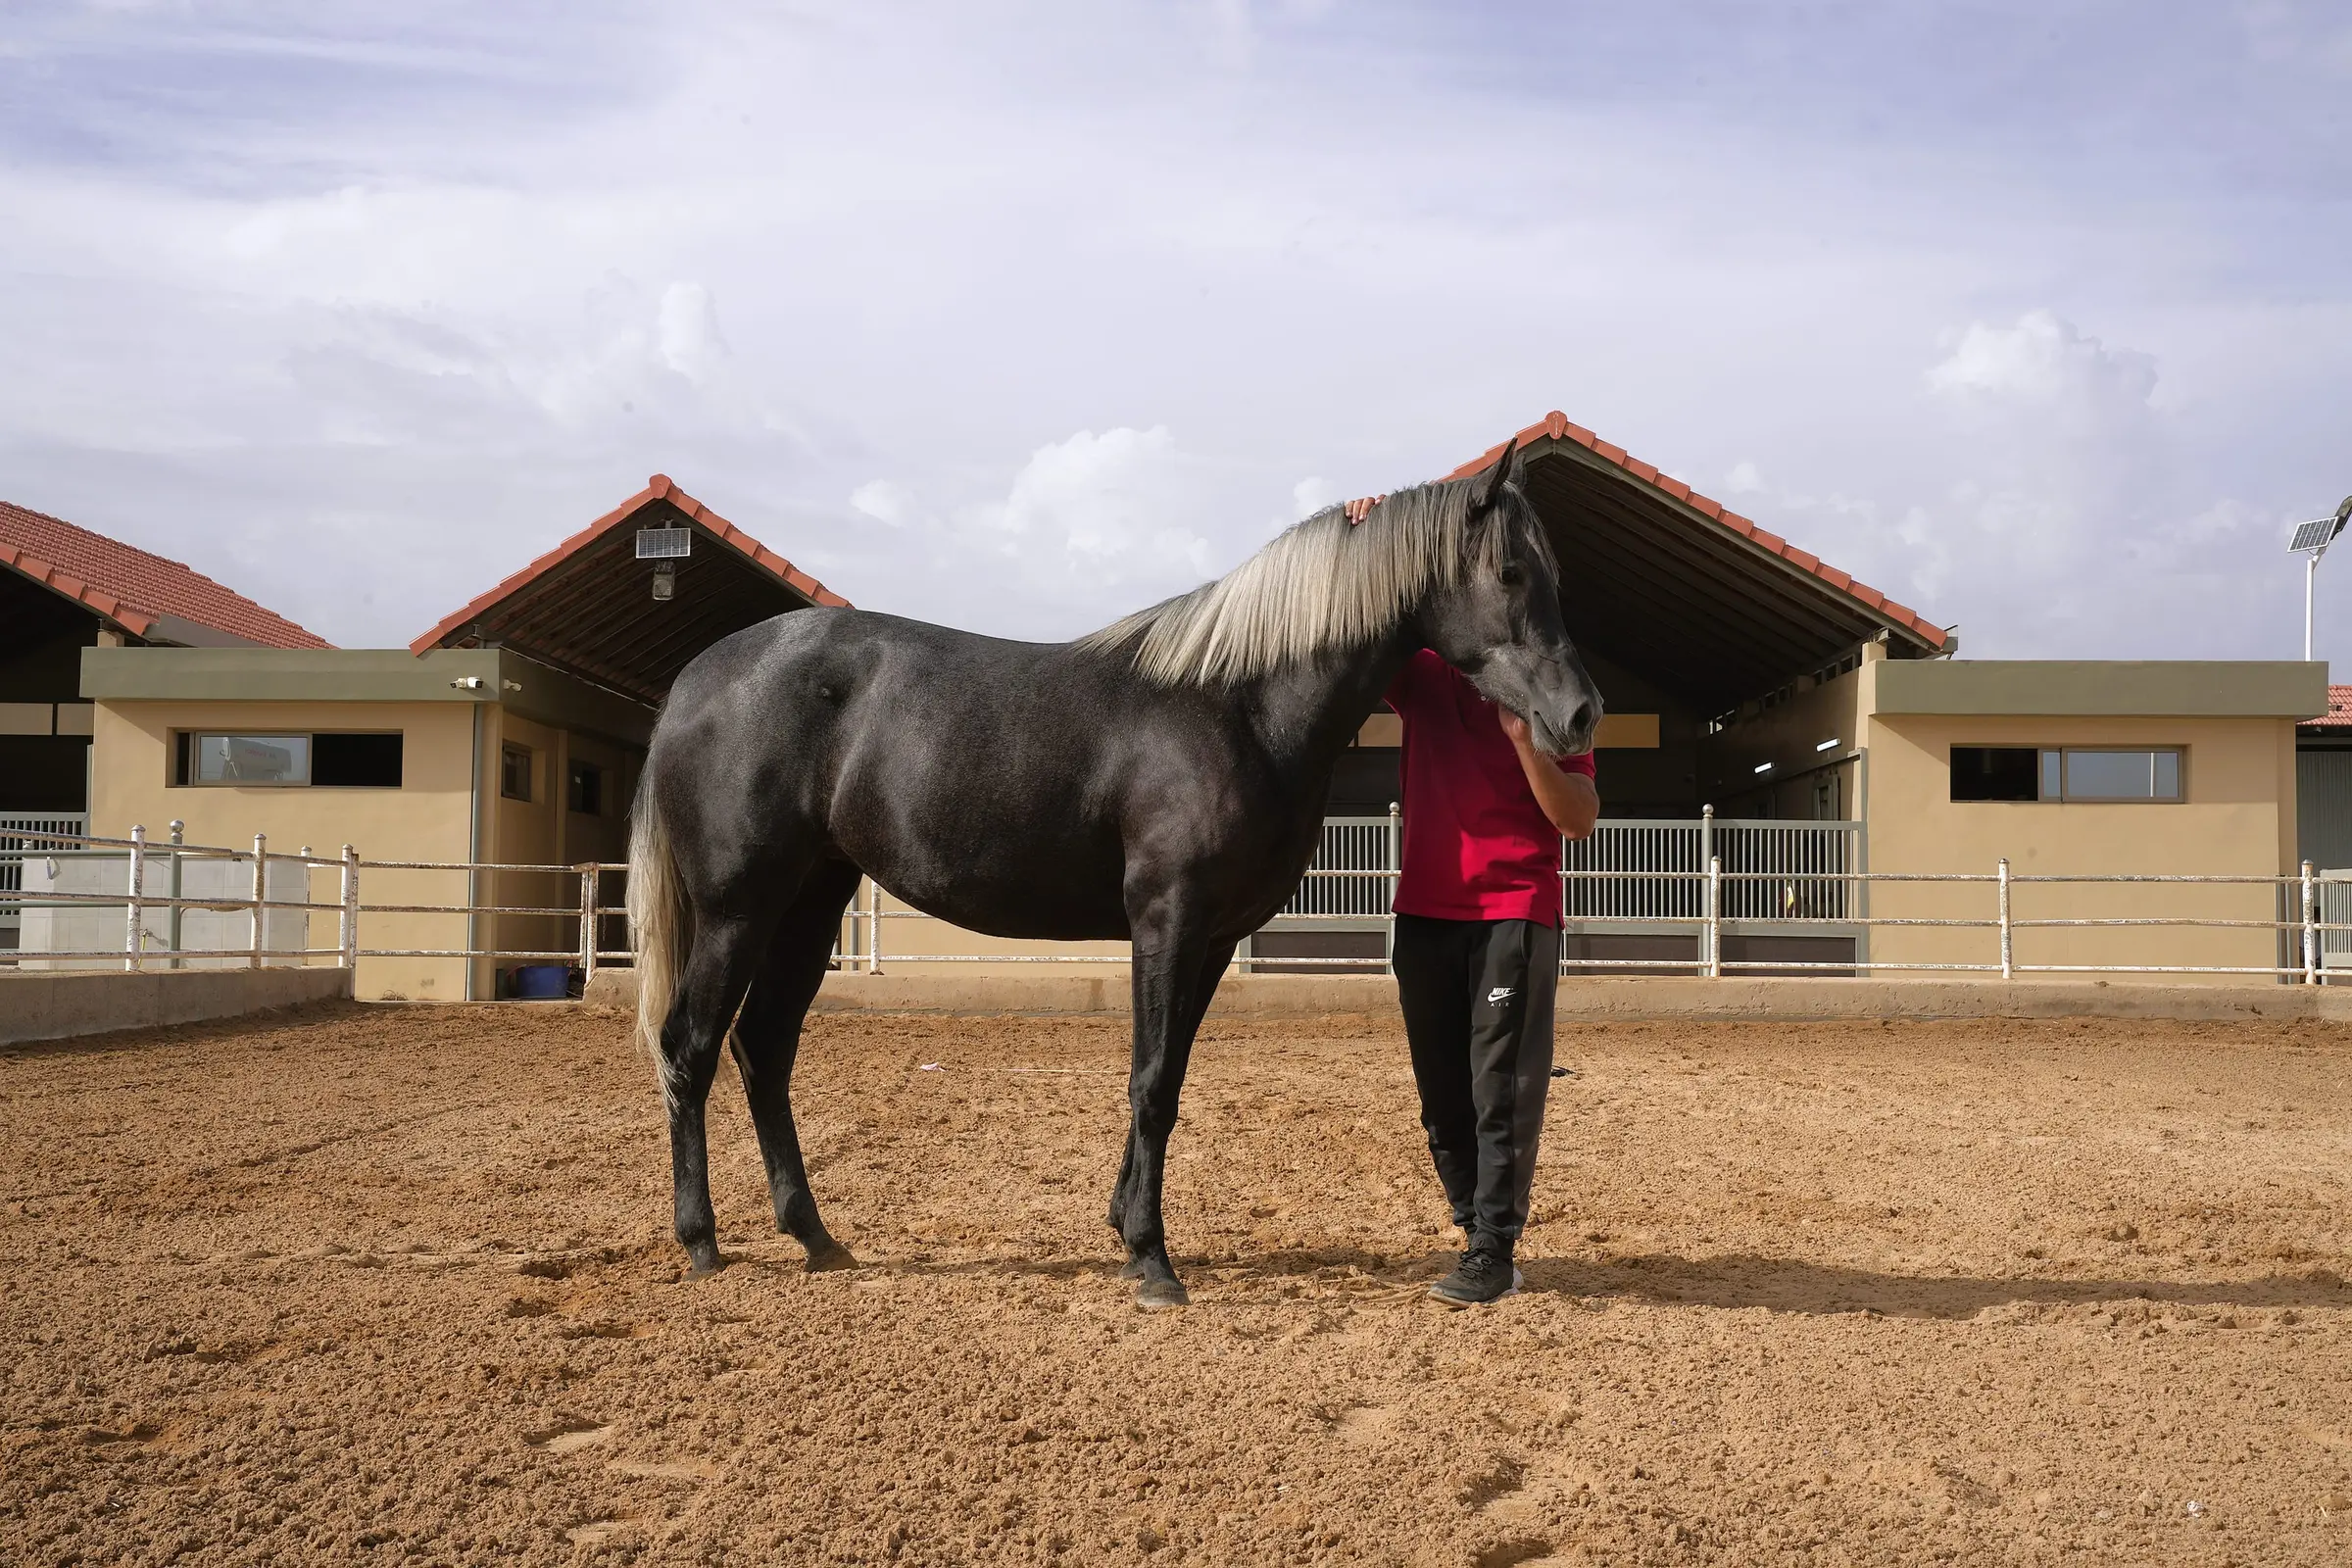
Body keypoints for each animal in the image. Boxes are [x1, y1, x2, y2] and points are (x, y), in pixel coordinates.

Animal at [625, 441, 1602, 1307]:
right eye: (1510, 572)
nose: (1580, 713)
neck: (1237, 703)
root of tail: (694, 680)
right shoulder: (1167, 921)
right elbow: (1151, 1081)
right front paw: (1153, 1260)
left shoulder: (1211, 940)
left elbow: (1165, 1078)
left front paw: (1128, 1232)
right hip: (738, 910)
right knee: (692, 1046)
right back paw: (702, 1242)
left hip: (809, 903)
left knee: (764, 1049)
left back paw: (817, 1238)